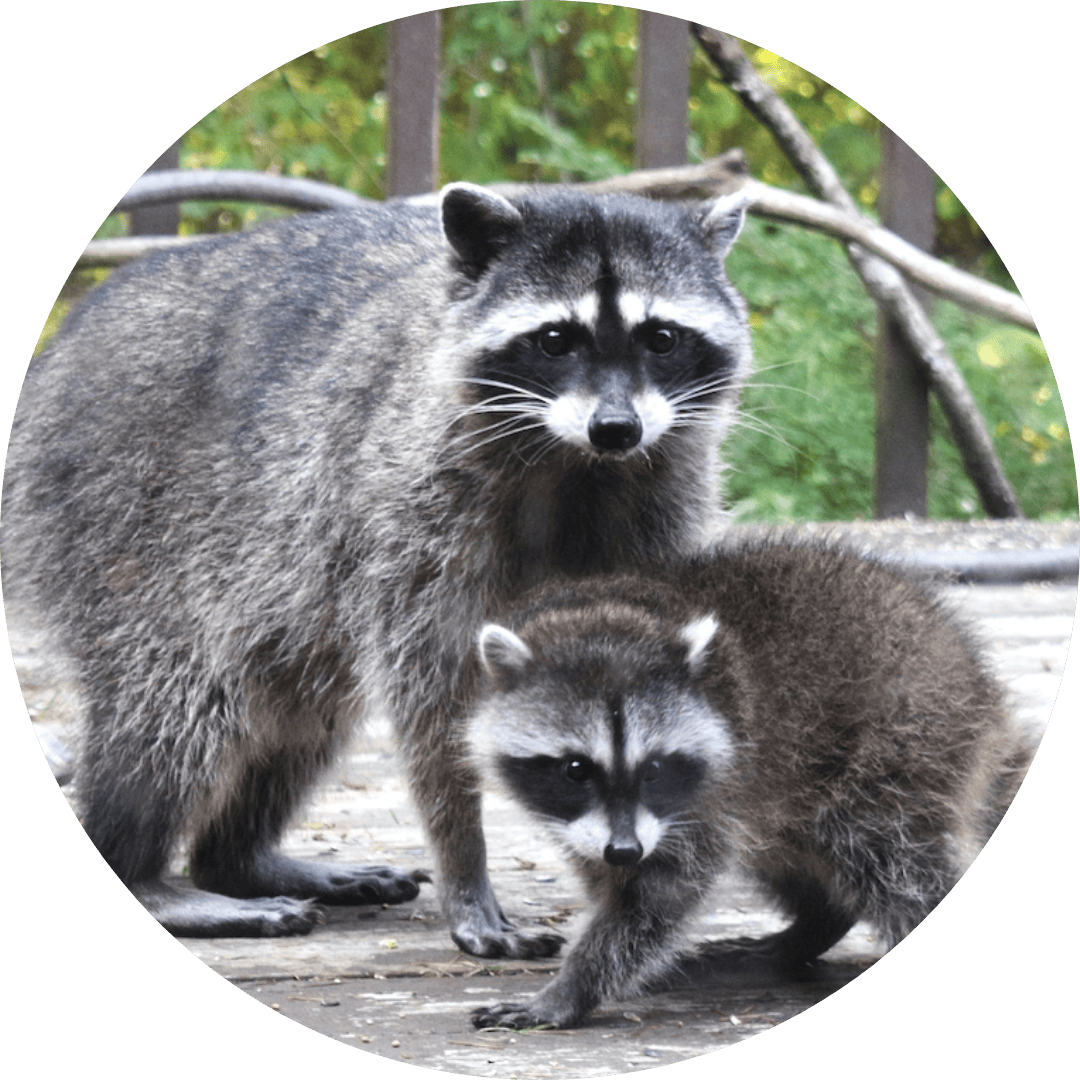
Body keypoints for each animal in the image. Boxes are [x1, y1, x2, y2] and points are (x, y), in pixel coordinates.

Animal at [2, 183, 753, 945]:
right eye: (554, 340)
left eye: (661, 338)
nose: (617, 428)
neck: (574, 461)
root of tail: (61, 350)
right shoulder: (410, 504)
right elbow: (437, 702)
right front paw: (465, 867)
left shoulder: (661, 501)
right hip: (117, 513)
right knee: (174, 703)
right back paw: (143, 873)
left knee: (297, 706)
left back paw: (236, 859)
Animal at [466, 538, 1034, 1028]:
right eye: (576, 769)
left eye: (653, 769)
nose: (625, 850)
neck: (610, 618)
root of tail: (981, 690)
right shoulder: (596, 821)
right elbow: (608, 876)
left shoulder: (711, 792)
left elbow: (656, 896)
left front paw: (574, 986)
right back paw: (810, 928)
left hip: (902, 742)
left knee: (886, 854)